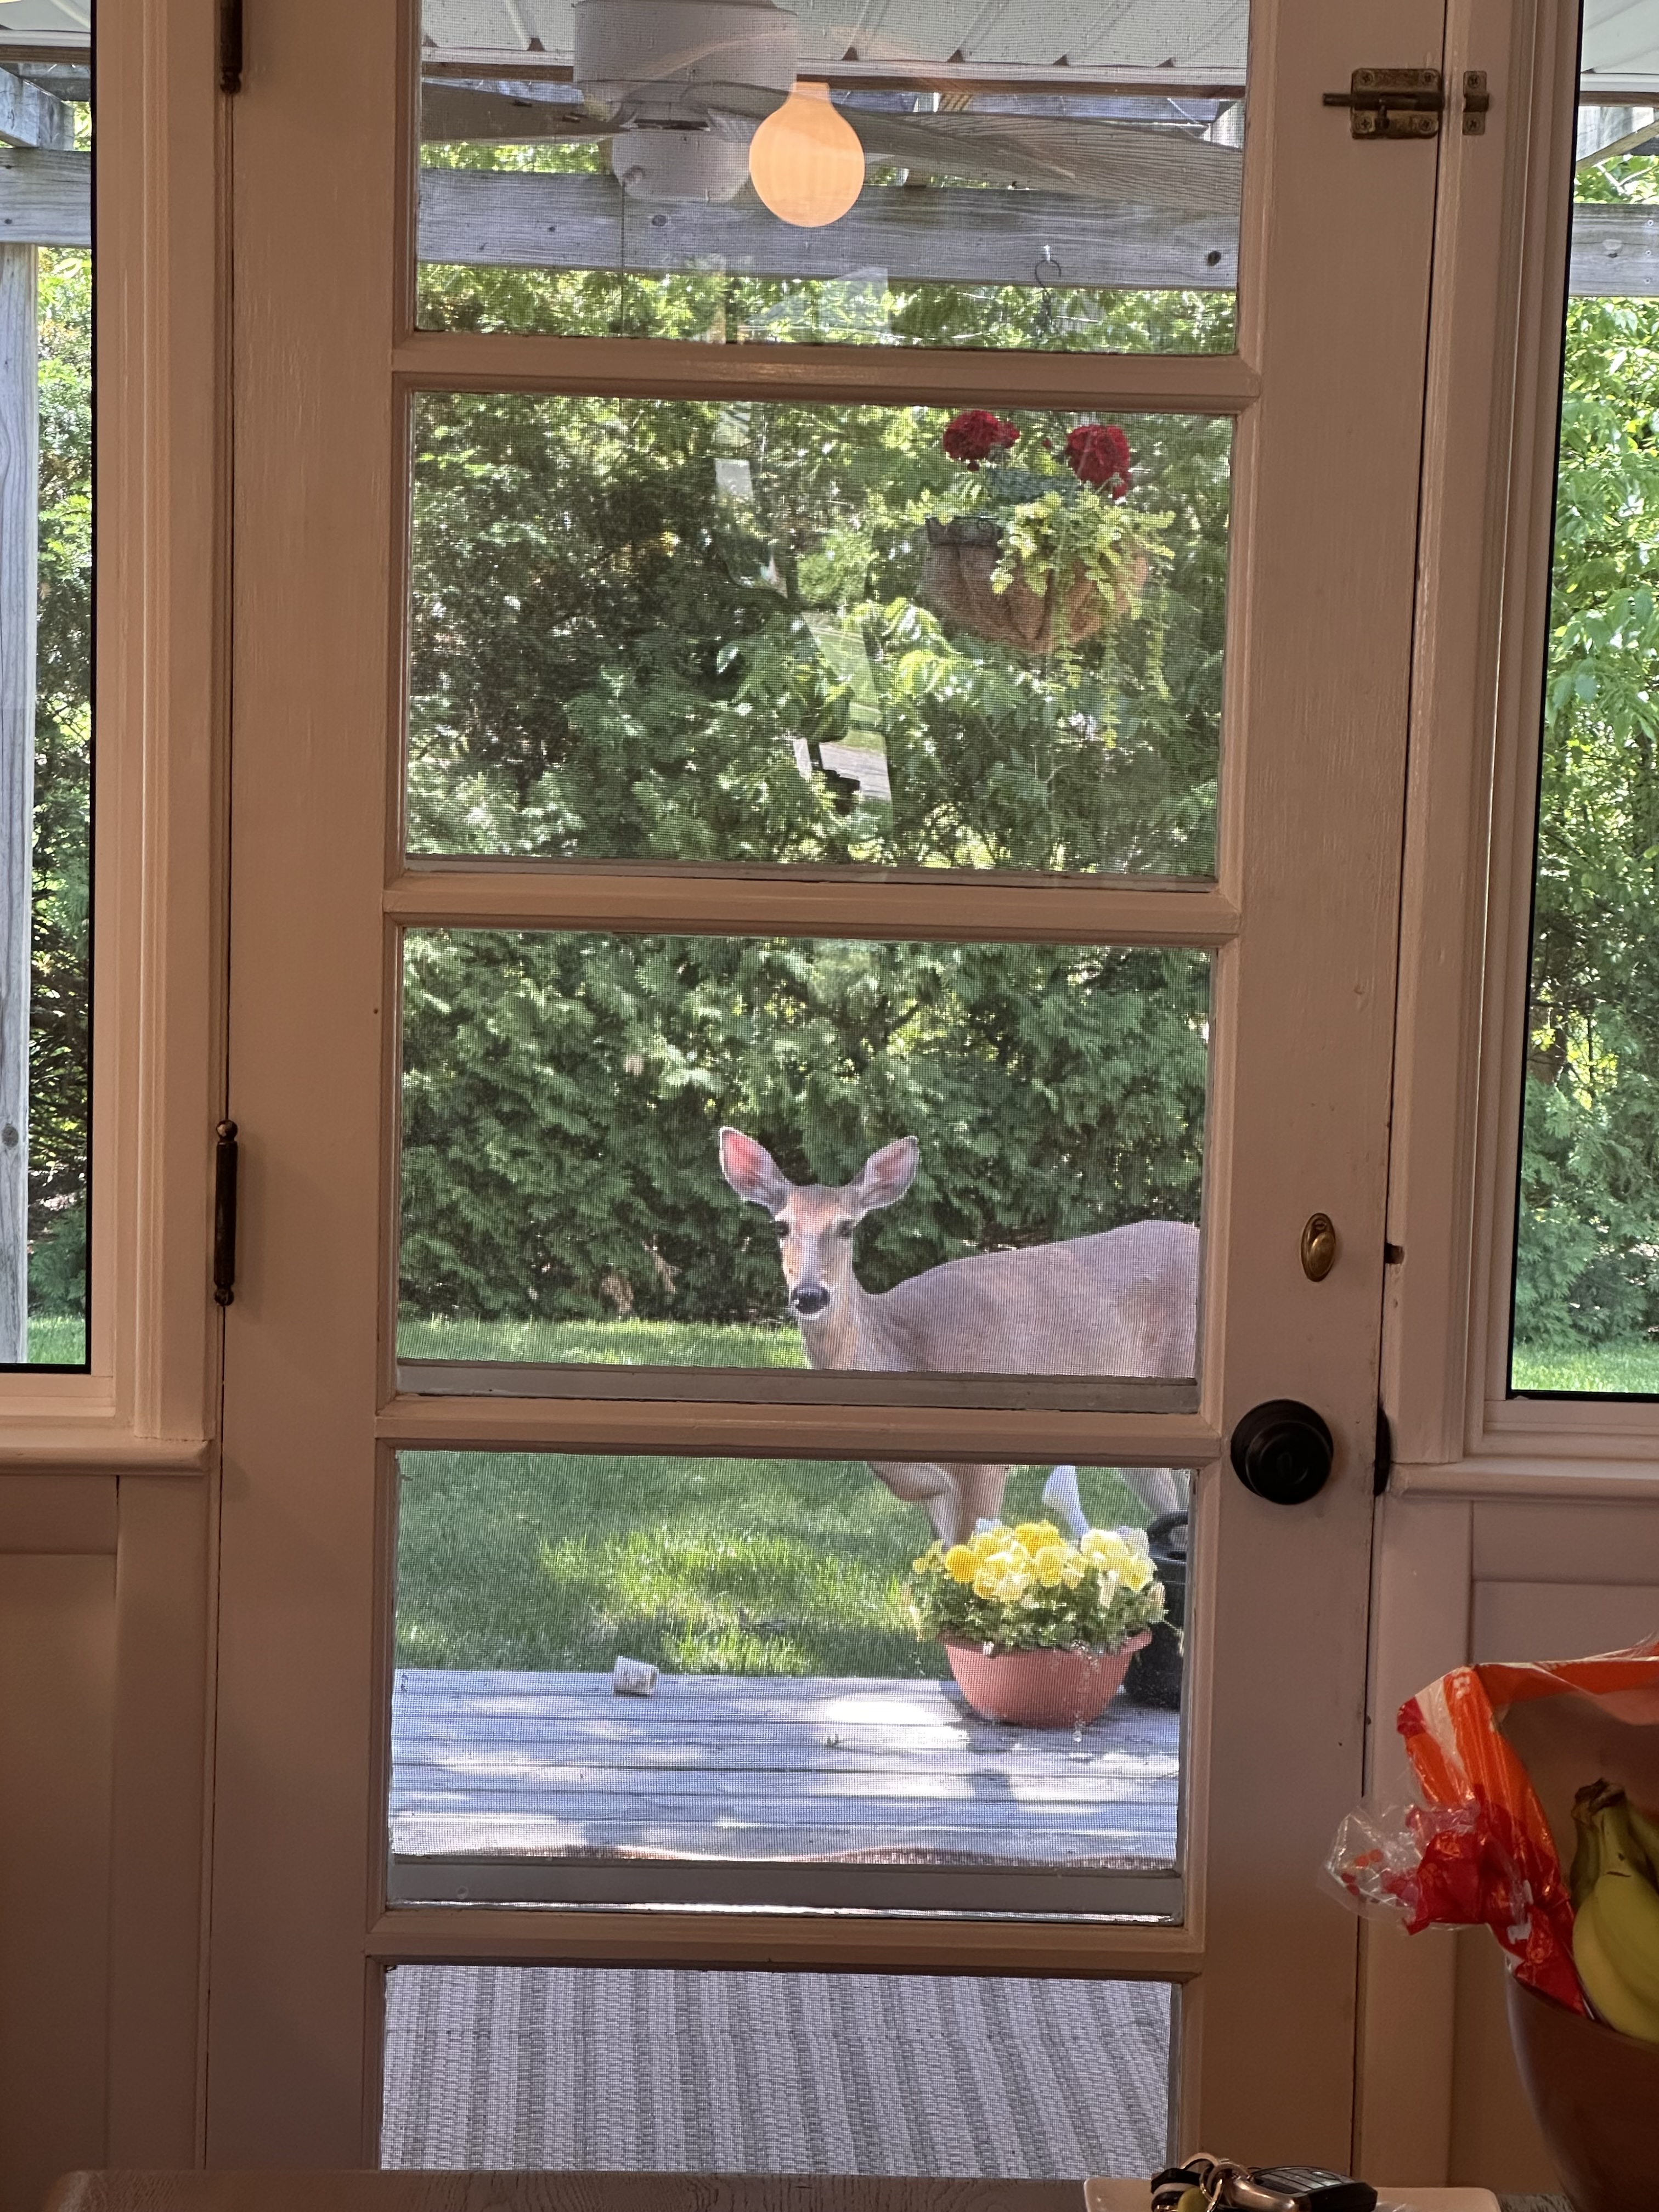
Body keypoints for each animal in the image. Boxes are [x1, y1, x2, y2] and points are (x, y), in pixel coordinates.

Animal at [718, 1127, 1198, 1544]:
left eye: (847, 1227)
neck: (904, 1348)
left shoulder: (981, 1469)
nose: (810, 1295)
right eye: (780, 1226)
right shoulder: (935, 1492)